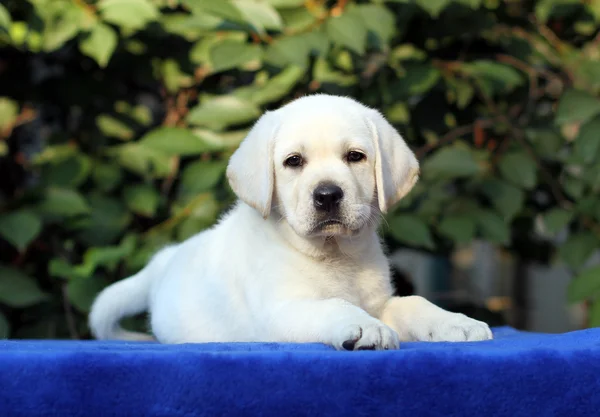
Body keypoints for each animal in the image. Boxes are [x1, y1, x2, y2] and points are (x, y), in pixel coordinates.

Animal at [89, 93, 492, 348]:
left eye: (355, 156)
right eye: (294, 161)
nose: (327, 195)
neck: (334, 254)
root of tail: (165, 260)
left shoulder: (380, 302)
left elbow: (415, 302)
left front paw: (457, 322)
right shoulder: (282, 310)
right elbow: (334, 306)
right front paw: (363, 327)